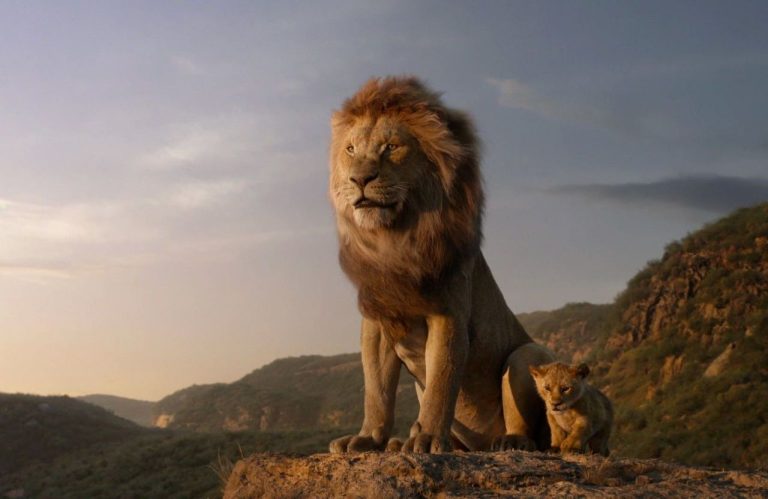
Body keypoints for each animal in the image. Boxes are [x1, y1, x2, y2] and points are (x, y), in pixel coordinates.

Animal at [328, 76, 555, 453]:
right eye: (350, 150)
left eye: (391, 147)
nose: (359, 179)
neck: (395, 240)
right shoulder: (377, 321)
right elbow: (377, 390)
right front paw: (368, 438)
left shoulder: (447, 313)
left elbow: (441, 381)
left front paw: (428, 438)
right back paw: (400, 443)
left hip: (527, 354)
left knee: (528, 426)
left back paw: (509, 441)